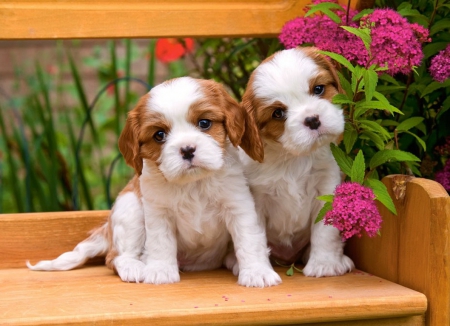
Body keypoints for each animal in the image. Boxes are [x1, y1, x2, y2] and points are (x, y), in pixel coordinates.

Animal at [27, 77, 282, 288]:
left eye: (204, 123)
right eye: (159, 135)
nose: (187, 149)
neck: (193, 184)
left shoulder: (238, 206)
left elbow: (248, 240)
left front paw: (256, 272)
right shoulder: (158, 213)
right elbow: (161, 242)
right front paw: (160, 271)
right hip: (130, 209)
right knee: (115, 257)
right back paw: (136, 266)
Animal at [241, 47, 354, 278]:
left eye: (318, 89)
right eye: (278, 113)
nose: (312, 119)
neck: (294, 157)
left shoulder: (326, 188)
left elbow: (325, 231)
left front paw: (325, 264)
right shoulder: (257, 200)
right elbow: (255, 236)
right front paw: (259, 271)